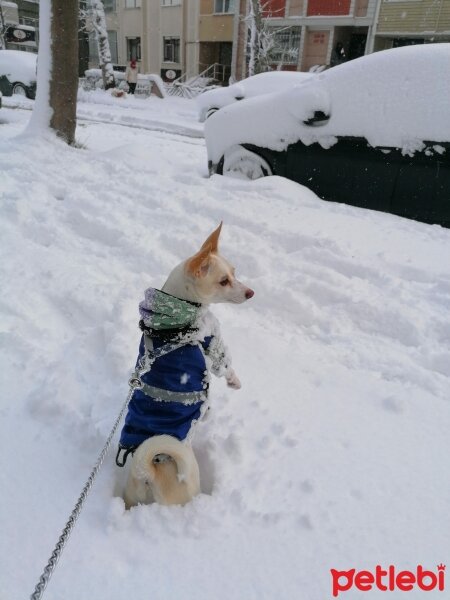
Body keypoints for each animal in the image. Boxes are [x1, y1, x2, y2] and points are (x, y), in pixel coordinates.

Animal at [120, 224, 253, 506]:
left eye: (234, 272)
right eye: (223, 281)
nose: (251, 292)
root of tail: (149, 470)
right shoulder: (211, 341)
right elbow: (224, 364)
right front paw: (234, 382)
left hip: (131, 495)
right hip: (188, 480)